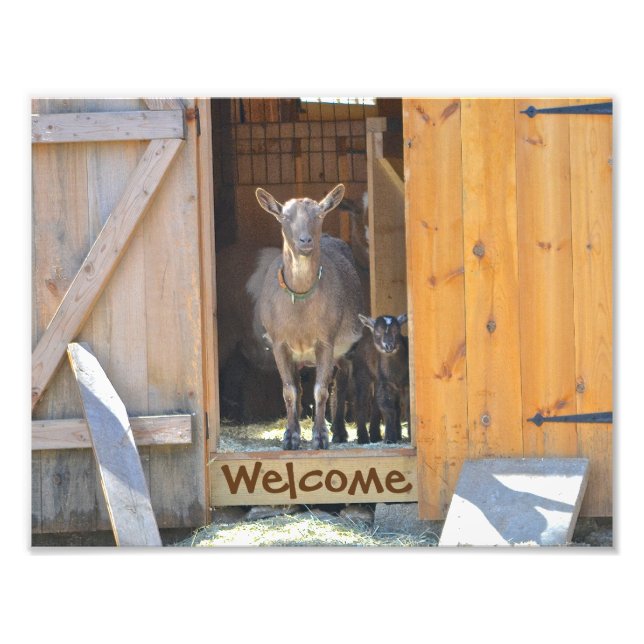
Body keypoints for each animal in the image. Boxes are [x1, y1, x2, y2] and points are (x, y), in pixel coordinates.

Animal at [255, 184, 364, 450]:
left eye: (319, 214)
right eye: (284, 216)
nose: (305, 241)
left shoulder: (326, 339)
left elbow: (321, 390)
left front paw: (320, 437)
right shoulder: (279, 342)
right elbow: (290, 391)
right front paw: (290, 437)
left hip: (347, 348)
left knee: (341, 383)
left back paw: (339, 431)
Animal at [355, 314, 409, 444]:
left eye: (397, 331)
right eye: (378, 332)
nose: (389, 346)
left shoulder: (406, 384)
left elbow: (408, 408)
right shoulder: (385, 383)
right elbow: (387, 408)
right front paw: (390, 438)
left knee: (378, 403)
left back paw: (376, 436)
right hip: (362, 372)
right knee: (361, 402)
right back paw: (363, 438)